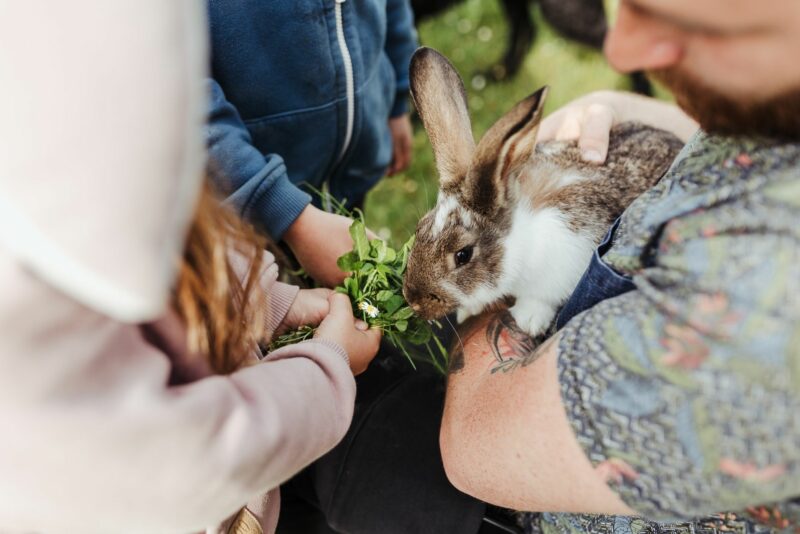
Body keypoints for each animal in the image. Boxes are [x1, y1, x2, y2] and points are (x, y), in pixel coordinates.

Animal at [400, 48, 680, 338]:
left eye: (462, 255)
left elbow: (541, 299)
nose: (414, 301)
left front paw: (528, 319)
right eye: (419, 228)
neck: (521, 242)